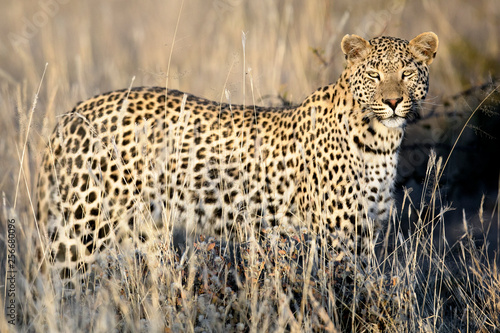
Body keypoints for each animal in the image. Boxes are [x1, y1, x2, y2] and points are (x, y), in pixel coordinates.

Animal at [36, 32, 438, 290]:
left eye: (406, 73)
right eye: (374, 74)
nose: (392, 101)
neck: (380, 141)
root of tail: (74, 113)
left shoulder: (367, 233)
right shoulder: (340, 239)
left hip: (144, 229)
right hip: (82, 228)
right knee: (55, 289)